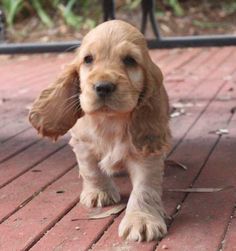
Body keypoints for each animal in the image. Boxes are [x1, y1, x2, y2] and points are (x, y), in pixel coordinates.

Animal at [29, 20, 171, 241]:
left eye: (130, 60)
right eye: (88, 59)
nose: (103, 87)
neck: (110, 120)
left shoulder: (145, 154)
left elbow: (144, 189)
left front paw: (141, 220)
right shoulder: (83, 144)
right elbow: (91, 170)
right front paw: (99, 193)